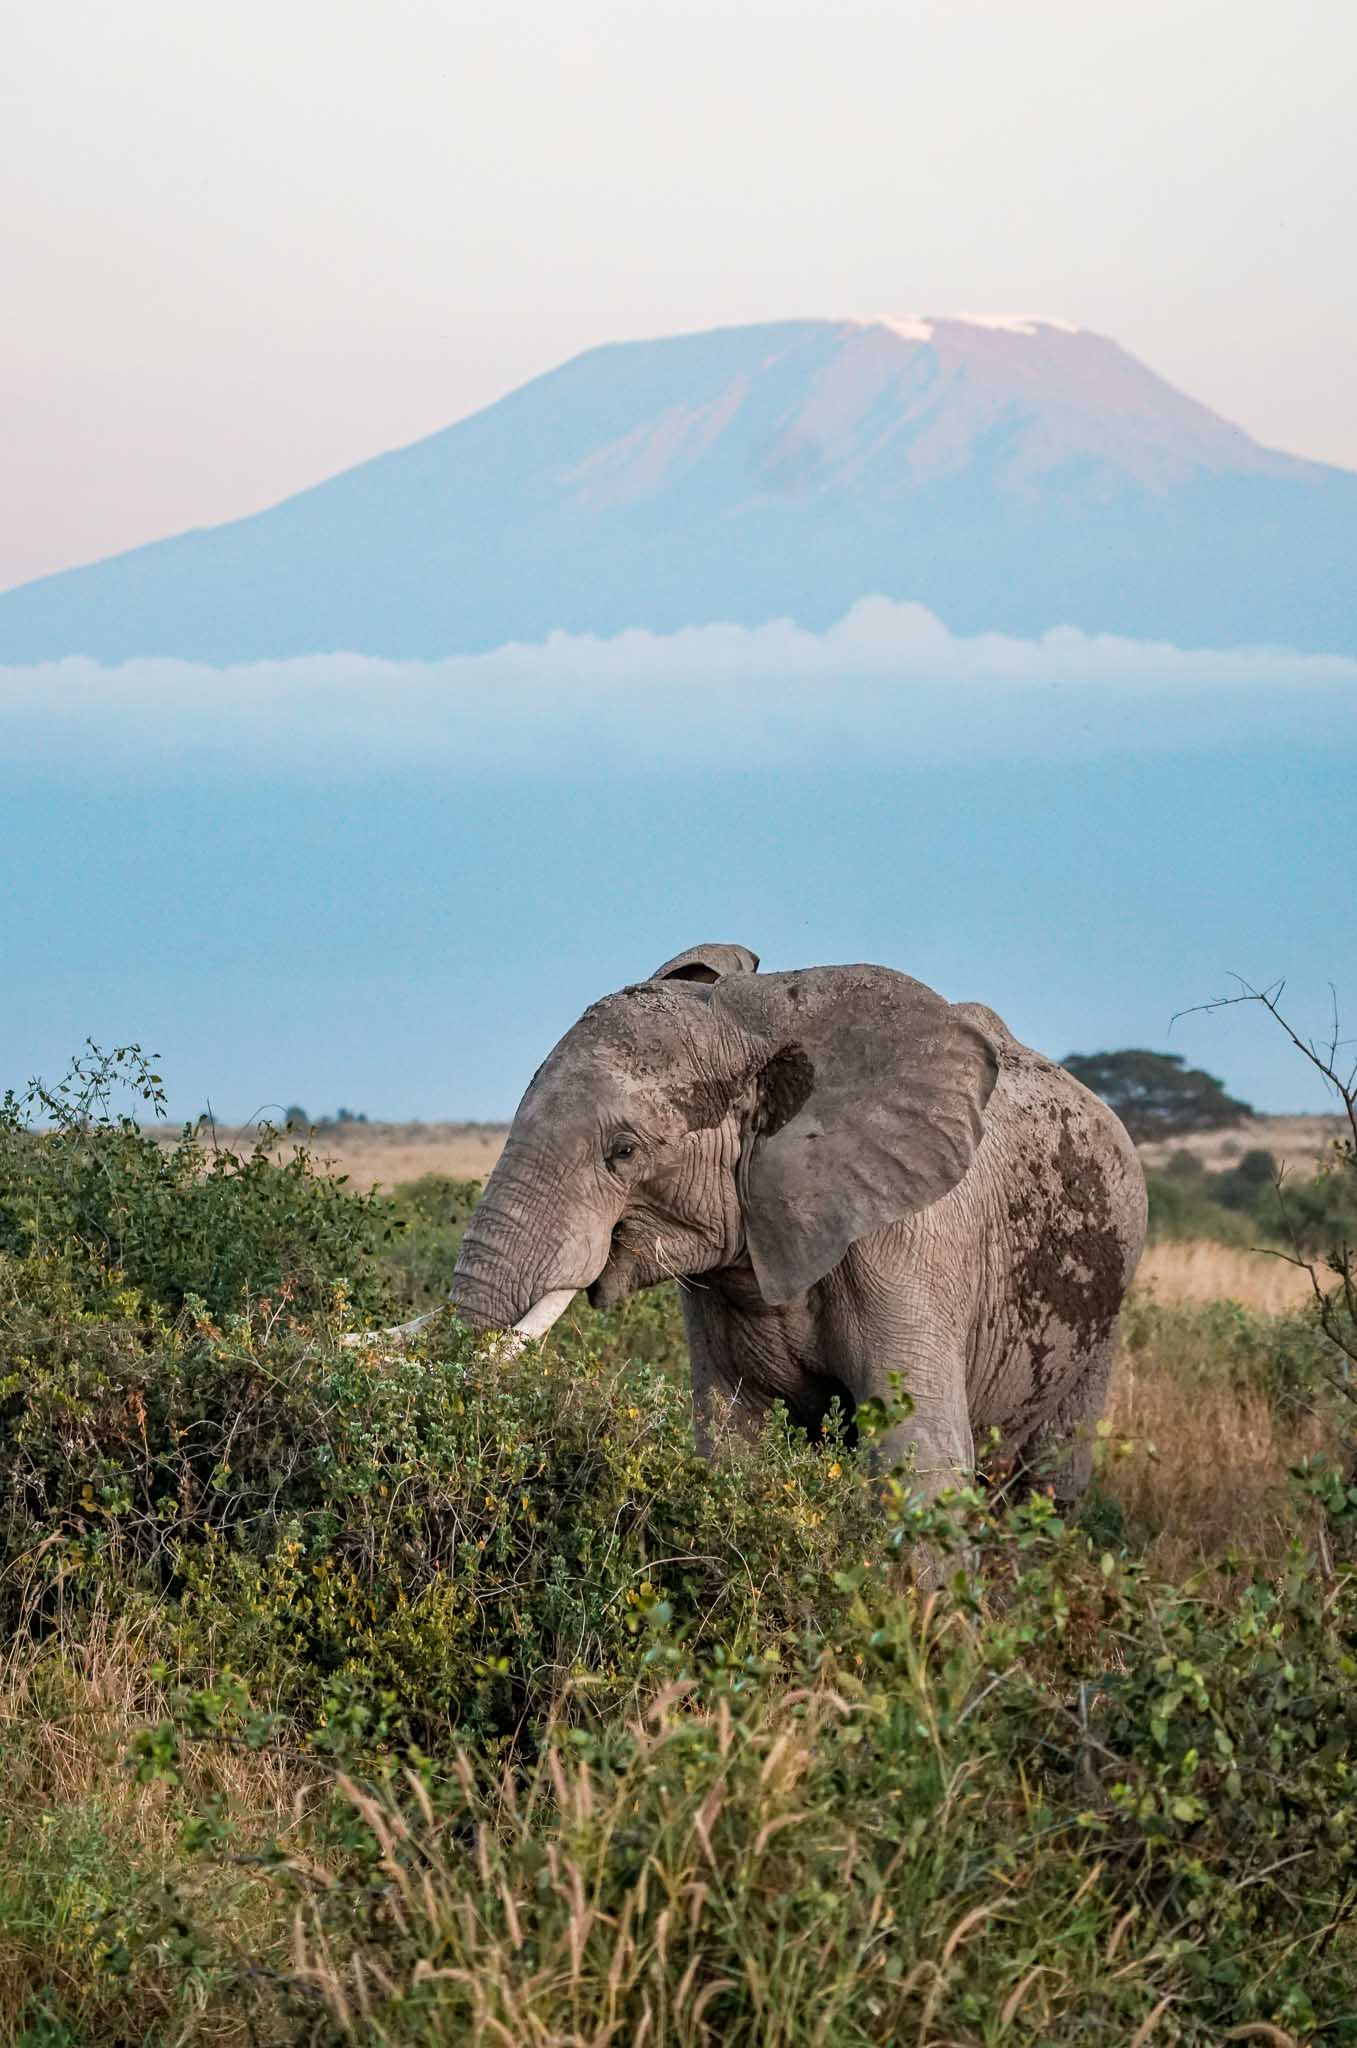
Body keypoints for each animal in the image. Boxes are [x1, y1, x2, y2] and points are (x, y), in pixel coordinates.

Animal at [450, 945, 1147, 1505]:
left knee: (1051, 1484)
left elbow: (923, 1463)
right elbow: (733, 1446)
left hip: (1103, 1310)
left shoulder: (912, 1248)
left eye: (623, 1151)